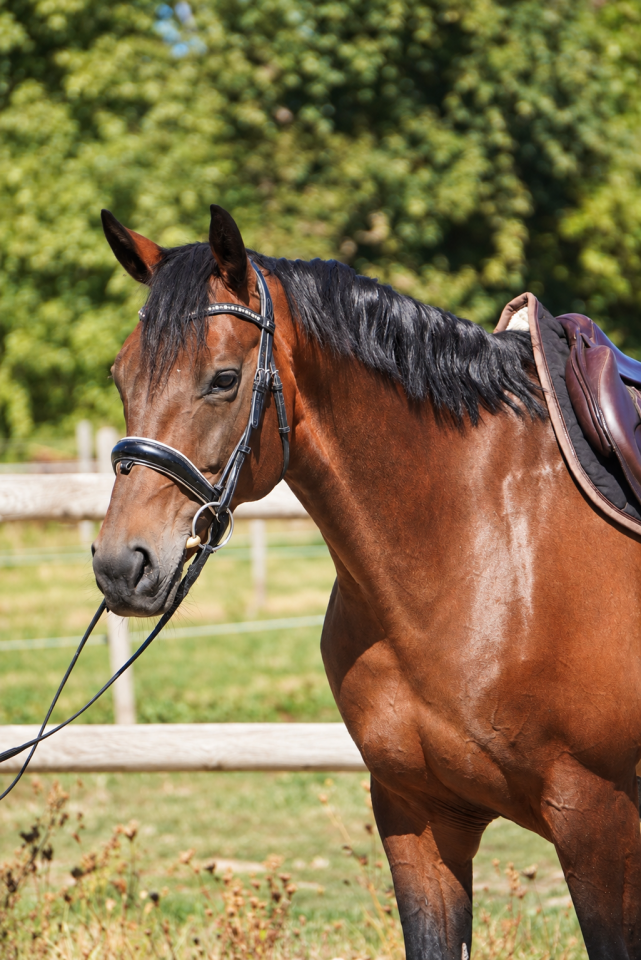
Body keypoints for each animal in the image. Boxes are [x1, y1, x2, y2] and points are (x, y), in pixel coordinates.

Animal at [93, 204, 641, 960]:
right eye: (120, 377)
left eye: (224, 379)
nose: (123, 565)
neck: (484, 542)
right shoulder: (417, 816)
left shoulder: (597, 820)